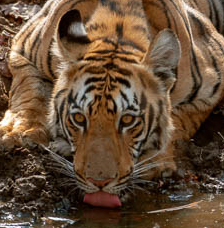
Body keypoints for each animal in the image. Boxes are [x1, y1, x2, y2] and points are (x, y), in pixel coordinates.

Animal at [1, 0, 224, 208]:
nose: (99, 182)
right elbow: (30, 90)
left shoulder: (214, 83)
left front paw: (154, 161)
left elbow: (178, 120)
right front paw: (20, 132)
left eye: (127, 120)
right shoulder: (23, 49)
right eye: (79, 118)